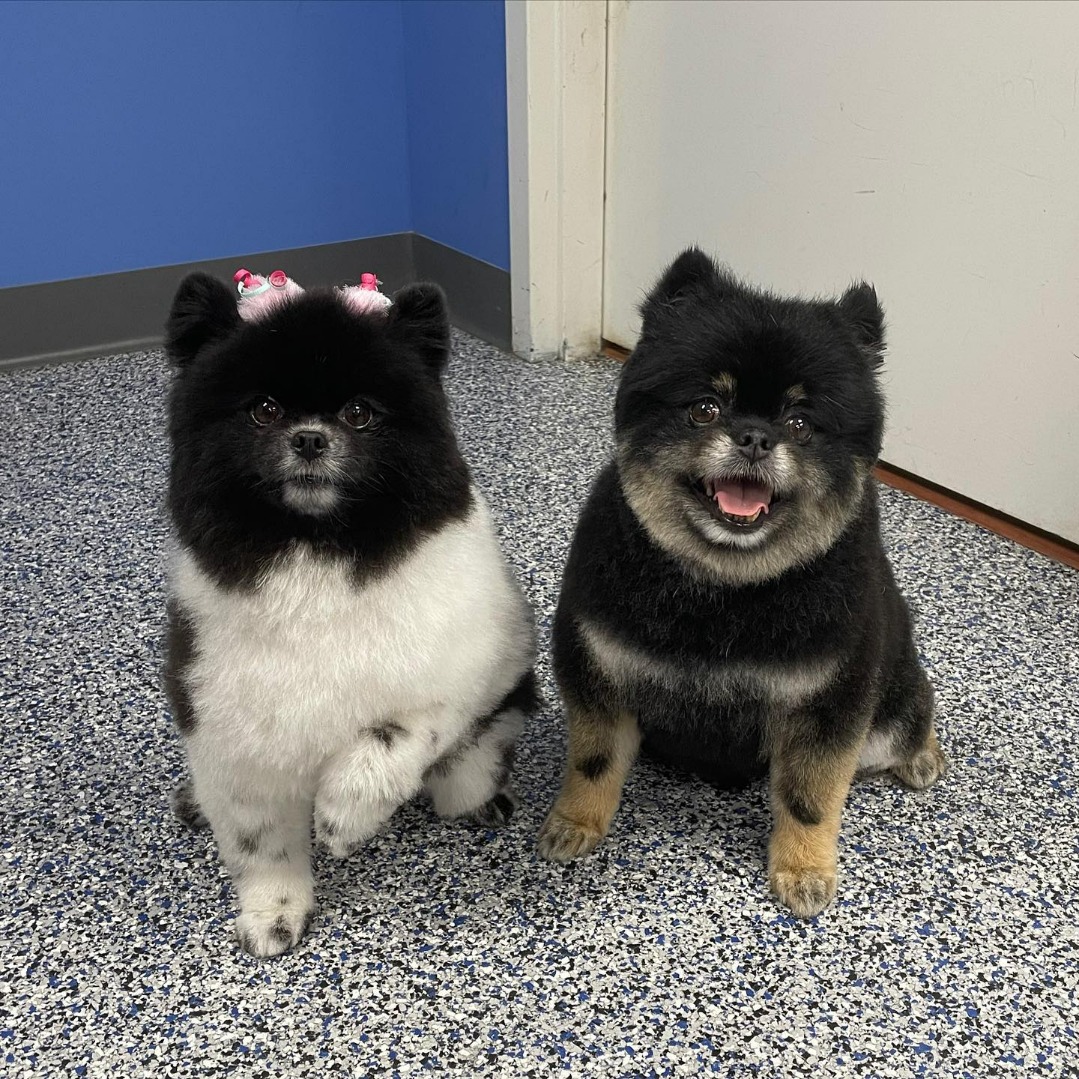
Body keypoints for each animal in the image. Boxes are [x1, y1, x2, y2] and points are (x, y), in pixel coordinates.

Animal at [163, 272, 536, 955]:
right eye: (264, 410)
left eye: (359, 413)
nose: (310, 438)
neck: (320, 557)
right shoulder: (233, 736)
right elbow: (264, 850)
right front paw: (274, 913)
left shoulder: (454, 677)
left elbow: (391, 737)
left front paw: (344, 816)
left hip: (477, 749)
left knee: (463, 778)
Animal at [537, 247, 946, 917]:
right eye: (707, 407)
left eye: (801, 423)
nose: (755, 436)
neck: (726, 589)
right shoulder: (600, 671)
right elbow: (593, 764)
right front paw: (577, 822)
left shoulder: (827, 706)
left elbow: (809, 797)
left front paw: (802, 868)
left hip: (887, 703)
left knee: (911, 714)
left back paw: (924, 754)